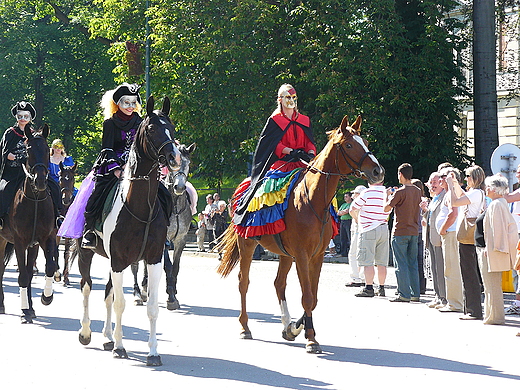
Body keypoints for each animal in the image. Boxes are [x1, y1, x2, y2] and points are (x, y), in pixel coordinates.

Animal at [0, 123, 57, 322]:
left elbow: (48, 267)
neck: (35, 200)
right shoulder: (19, 242)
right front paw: (24, 311)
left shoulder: (45, 239)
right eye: (29, 150)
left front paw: (46, 298)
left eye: (47, 150)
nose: (40, 181)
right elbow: (23, 276)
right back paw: (3, 305)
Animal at [76, 96, 182, 366]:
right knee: (86, 287)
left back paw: (106, 337)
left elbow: (151, 306)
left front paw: (153, 352)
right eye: (152, 128)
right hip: (86, 253)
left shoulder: (153, 259)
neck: (140, 206)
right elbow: (120, 303)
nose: (174, 158)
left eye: (172, 126)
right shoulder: (119, 260)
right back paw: (86, 333)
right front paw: (120, 347)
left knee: (106, 293)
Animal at [217, 115, 384, 354]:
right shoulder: (302, 256)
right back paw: (245, 327)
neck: (313, 200)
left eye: (367, 142)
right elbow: (307, 296)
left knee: (279, 283)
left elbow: (313, 298)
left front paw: (298, 329)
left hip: (285, 254)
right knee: (243, 282)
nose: (378, 171)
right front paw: (310, 339)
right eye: (349, 145)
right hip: (247, 245)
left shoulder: (317, 256)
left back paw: (286, 323)